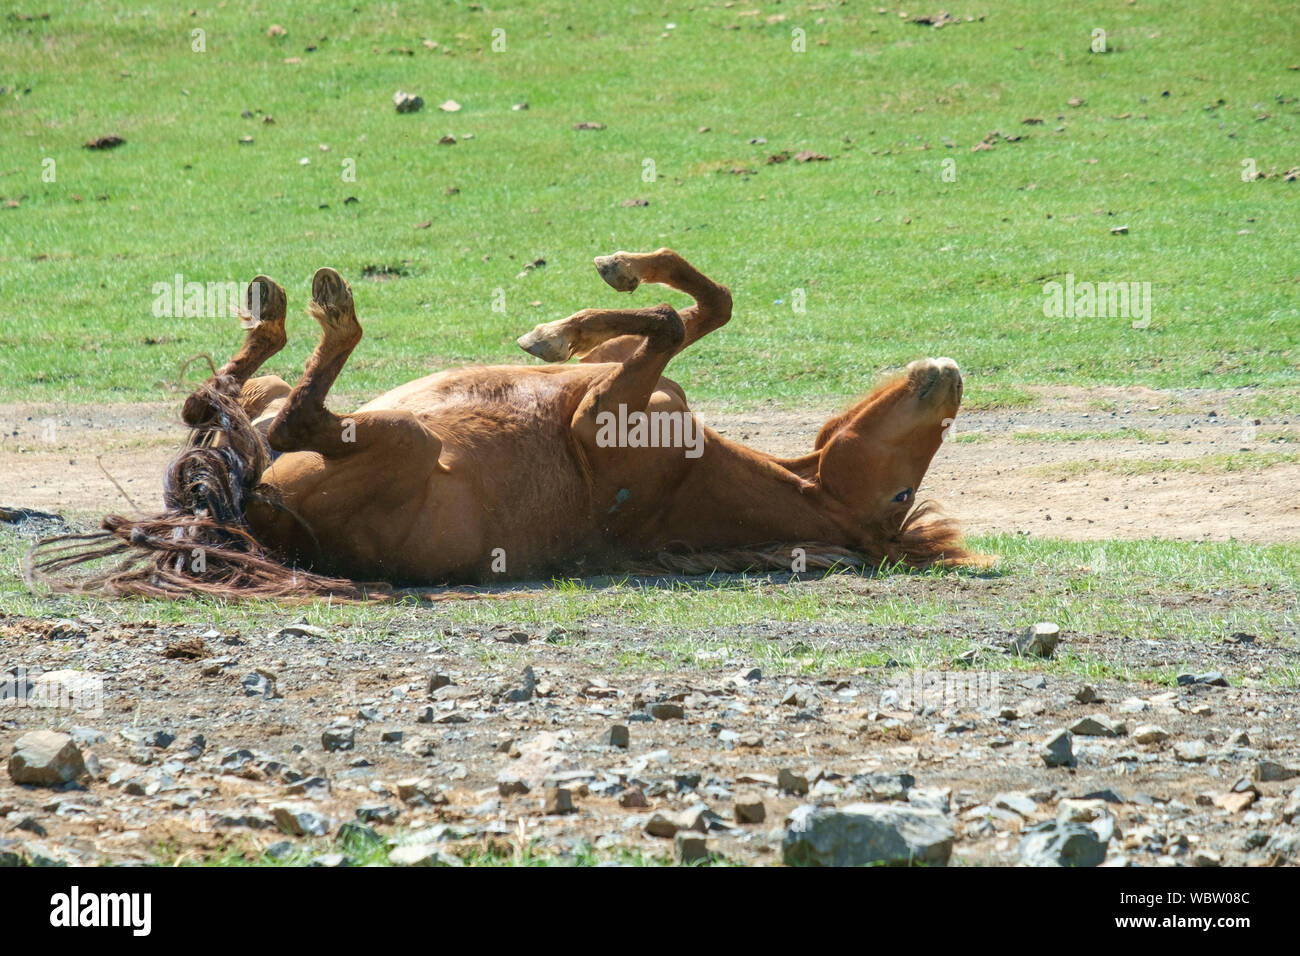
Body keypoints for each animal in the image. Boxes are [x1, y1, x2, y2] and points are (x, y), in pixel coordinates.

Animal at [33, 249, 979, 598]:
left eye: (900, 498)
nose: (952, 377)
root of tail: (258, 530)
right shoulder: (617, 386)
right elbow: (699, 308)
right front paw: (578, 311)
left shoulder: (605, 410)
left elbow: (677, 322)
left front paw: (574, 318)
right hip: (275, 419)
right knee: (221, 402)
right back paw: (273, 314)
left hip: (391, 440)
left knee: (290, 412)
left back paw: (328, 310)